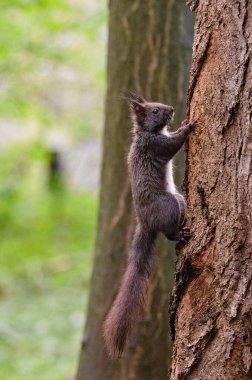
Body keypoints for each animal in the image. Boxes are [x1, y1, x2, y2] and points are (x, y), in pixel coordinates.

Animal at [102, 93, 193, 360]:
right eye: (154, 111)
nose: (171, 108)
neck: (147, 132)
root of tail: (145, 223)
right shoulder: (155, 145)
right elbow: (172, 145)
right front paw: (186, 127)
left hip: (180, 200)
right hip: (170, 205)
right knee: (169, 234)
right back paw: (180, 234)